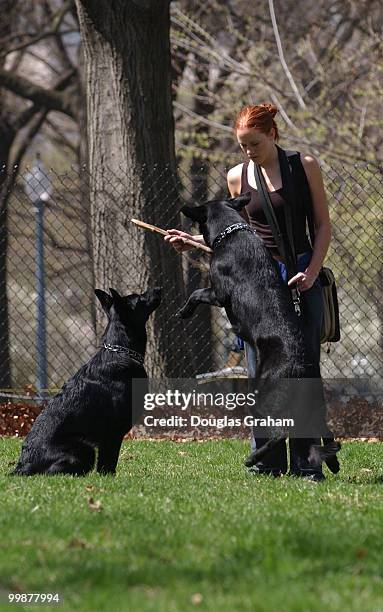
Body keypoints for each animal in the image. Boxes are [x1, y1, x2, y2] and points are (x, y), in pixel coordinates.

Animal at [10, 288, 160, 478]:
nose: (158, 289)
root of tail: (22, 466)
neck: (121, 351)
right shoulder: (111, 433)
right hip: (84, 449)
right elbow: (107, 463)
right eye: (139, 297)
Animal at [178, 194, 340, 470]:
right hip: (312, 399)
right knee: (322, 428)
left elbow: (197, 293)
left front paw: (184, 311)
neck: (231, 232)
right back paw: (333, 462)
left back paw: (254, 458)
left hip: (263, 394)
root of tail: (302, 364)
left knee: (281, 431)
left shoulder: (218, 294)